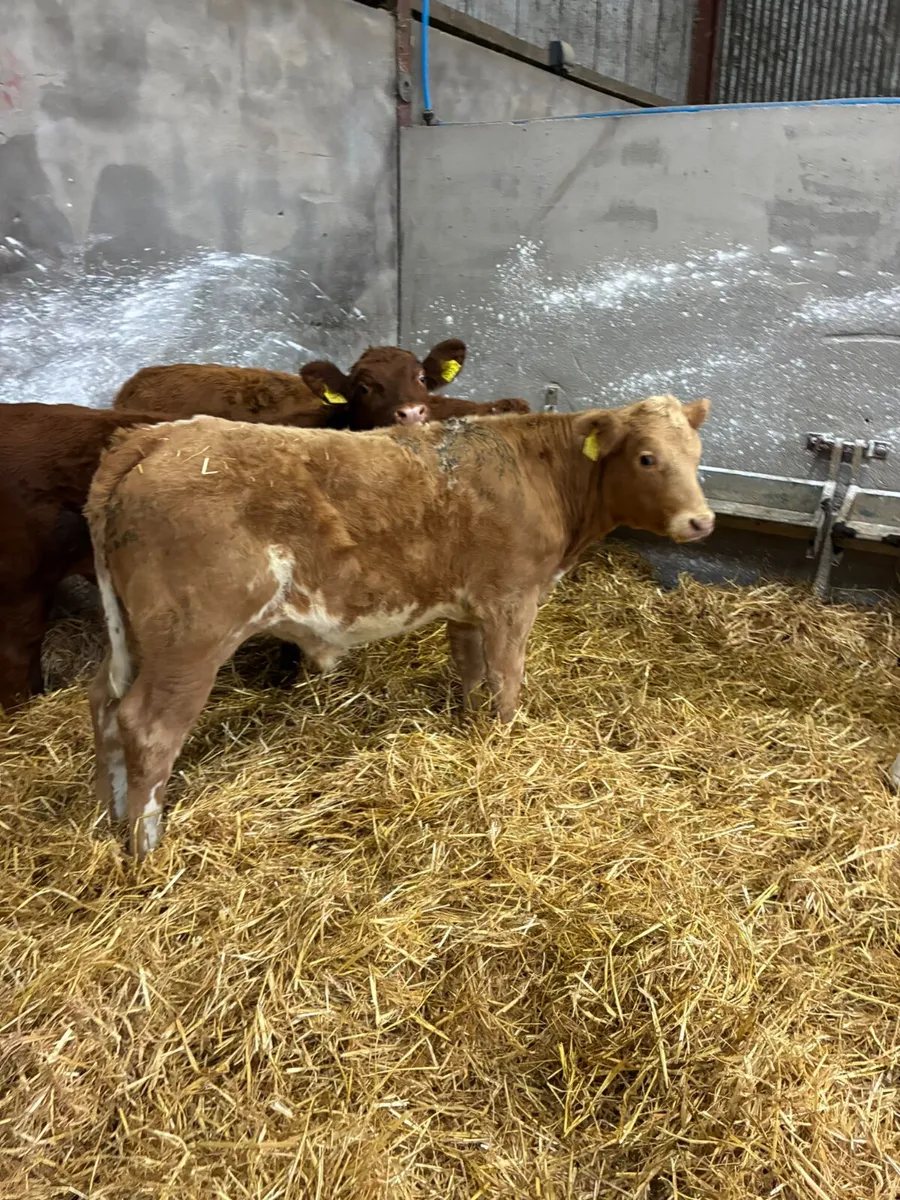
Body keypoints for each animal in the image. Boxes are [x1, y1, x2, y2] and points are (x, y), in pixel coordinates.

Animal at [86, 394, 714, 857]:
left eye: (697, 453)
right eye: (647, 457)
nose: (701, 521)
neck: (540, 472)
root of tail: (155, 437)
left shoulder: (467, 609)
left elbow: (472, 676)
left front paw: (473, 731)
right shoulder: (511, 600)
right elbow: (506, 682)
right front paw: (507, 744)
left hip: (136, 636)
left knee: (104, 704)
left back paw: (111, 815)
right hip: (191, 641)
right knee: (148, 728)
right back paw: (146, 848)